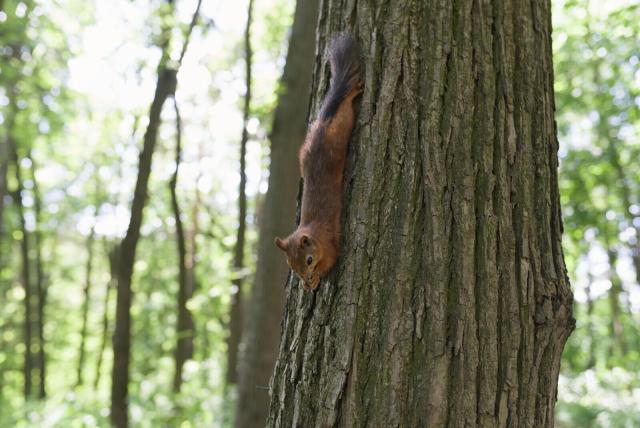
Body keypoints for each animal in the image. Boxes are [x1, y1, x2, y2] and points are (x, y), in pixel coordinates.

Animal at [275, 33, 363, 291]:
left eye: (309, 259)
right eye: (291, 265)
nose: (305, 279)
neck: (312, 234)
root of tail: (323, 123)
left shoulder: (331, 248)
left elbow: (331, 262)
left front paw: (314, 280)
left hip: (344, 126)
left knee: (346, 105)